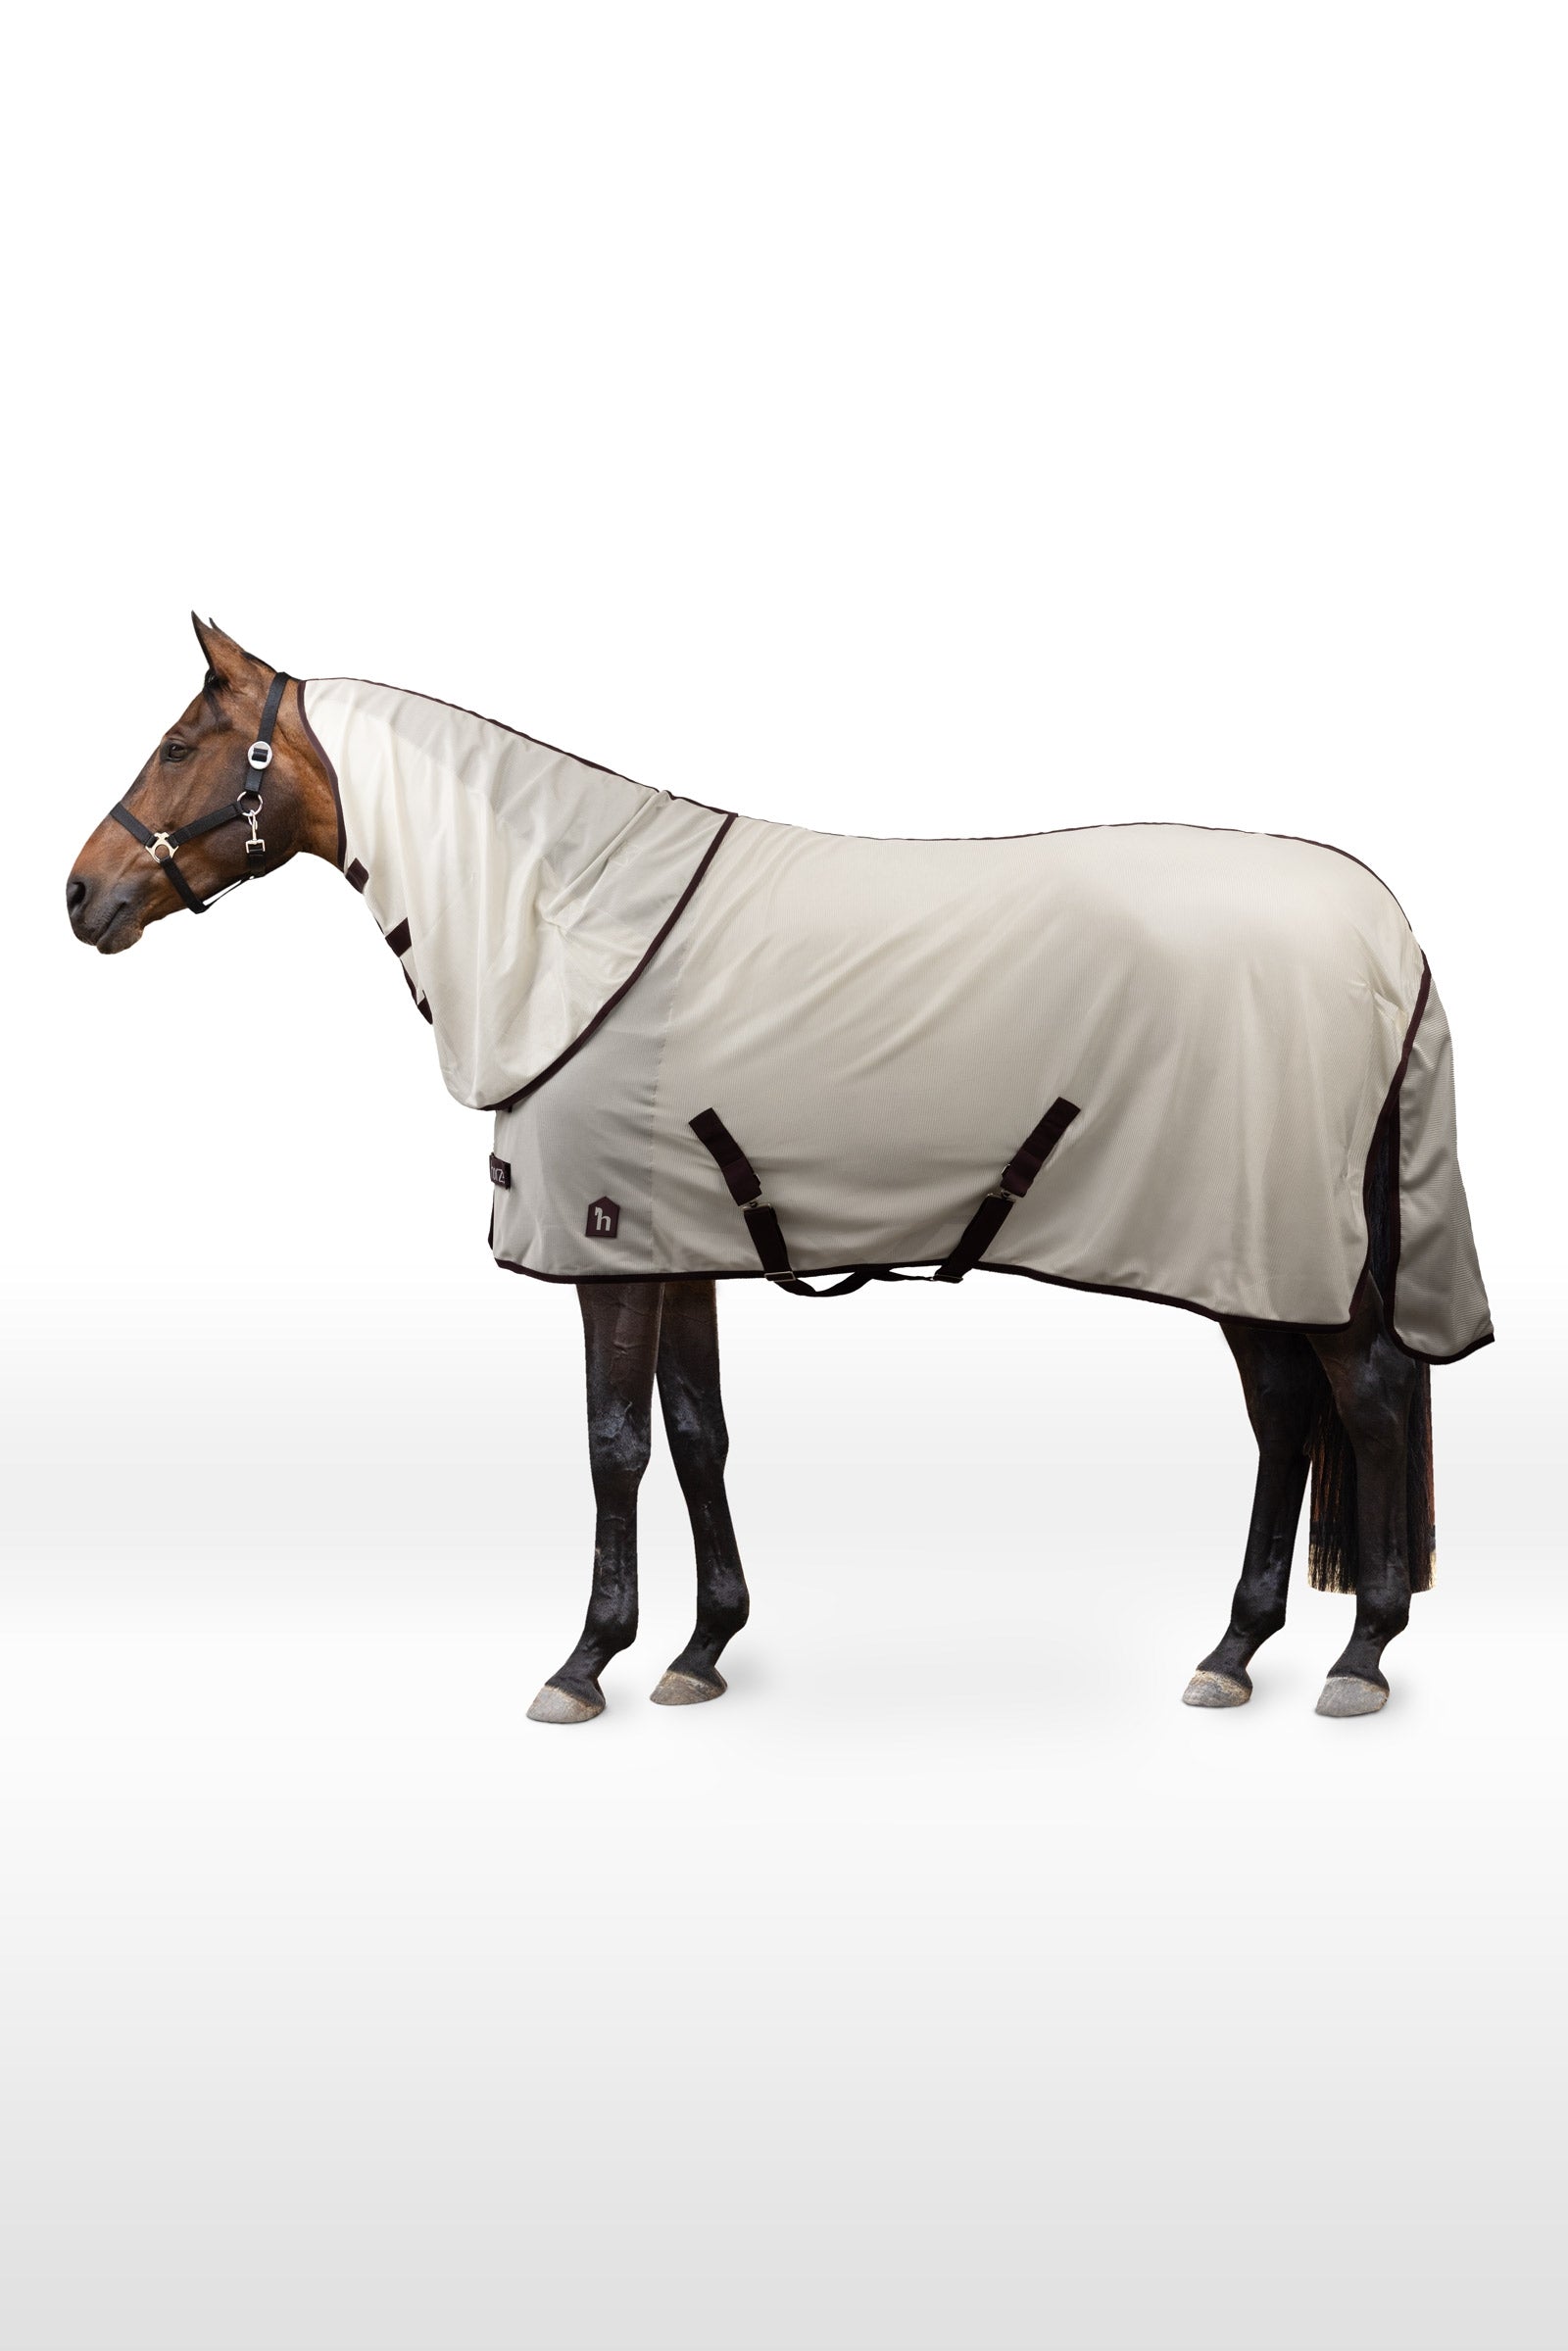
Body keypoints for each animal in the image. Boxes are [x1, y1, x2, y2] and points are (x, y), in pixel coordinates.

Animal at [66, 618, 1492, 1724]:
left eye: (181, 746)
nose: (80, 895)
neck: (568, 931)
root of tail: (1386, 932)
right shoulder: (674, 1242)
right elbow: (698, 1432)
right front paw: (702, 1648)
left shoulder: (607, 1249)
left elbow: (615, 1445)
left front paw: (586, 1662)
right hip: (1244, 1248)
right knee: (1286, 1413)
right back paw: (1234, 1649)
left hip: (1287, 1246)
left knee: (1363, 1400)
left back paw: (1360, 1654)